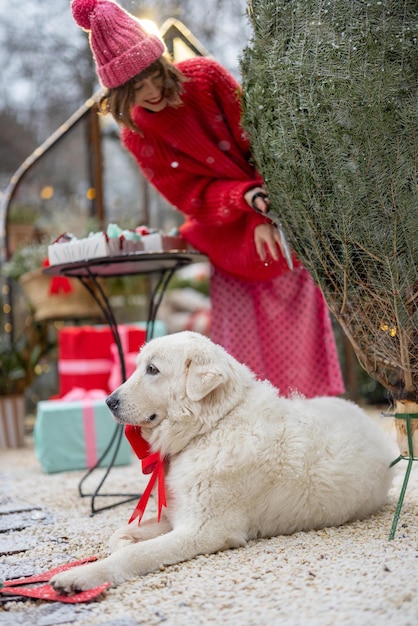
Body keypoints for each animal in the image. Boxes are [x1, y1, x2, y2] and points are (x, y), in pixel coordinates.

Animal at [50, 332, 394, 588]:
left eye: (153, 370)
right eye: (140, 367)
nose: (109, 401)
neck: (212, 427)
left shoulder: (203, 530)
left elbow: (134, 555)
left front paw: (80, 576)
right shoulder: (178, 515)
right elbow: (121, 534)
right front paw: (122, 544)